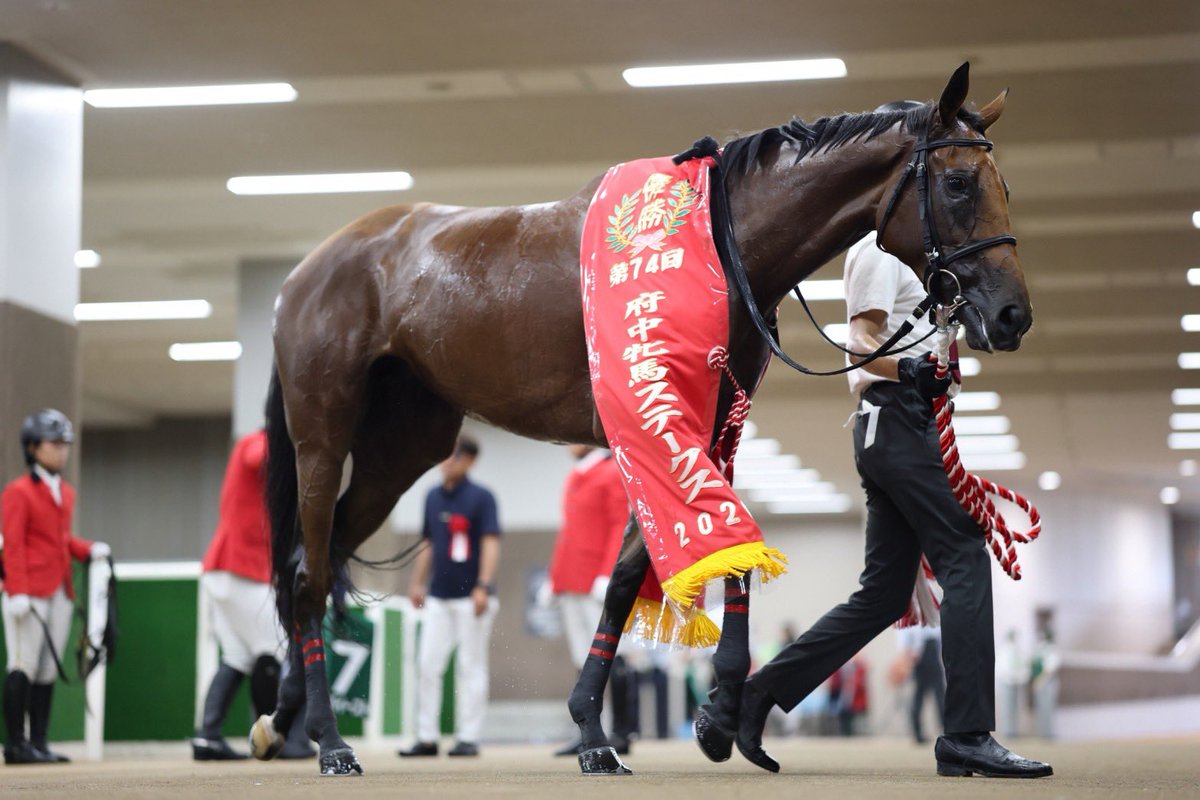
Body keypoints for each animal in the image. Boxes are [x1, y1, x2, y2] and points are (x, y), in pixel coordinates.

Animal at [249, 62, 1031, 776]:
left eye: (1004, 187)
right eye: (959, 184)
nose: (1012, 315)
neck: (717, 244)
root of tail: (305, 273)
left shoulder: (711, 432)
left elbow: (687, 563)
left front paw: (695, 716)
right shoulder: (649, 429)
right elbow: (660, 566)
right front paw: (623, 727)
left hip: (402, 449)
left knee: (315, 562)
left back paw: (280, 721)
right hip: (323, 438)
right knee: (310, 573)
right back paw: (329, 741)